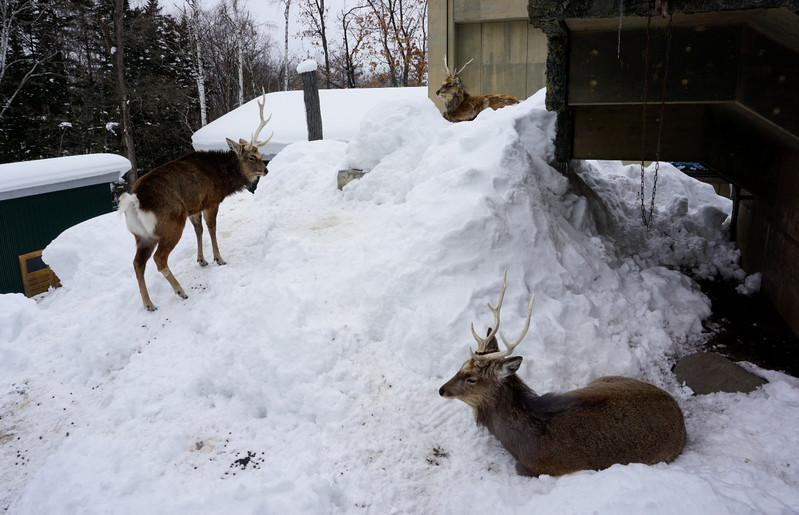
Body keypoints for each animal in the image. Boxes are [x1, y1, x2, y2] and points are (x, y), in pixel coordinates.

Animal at [118, 91, 276, 310]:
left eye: (260, 154)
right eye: (252, 157)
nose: (266, 169)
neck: (222, 178)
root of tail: (134, 200)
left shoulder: (194, 207)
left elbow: (198, 230)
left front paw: (201, 260)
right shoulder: (211, 200)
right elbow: (211, 228)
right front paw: (218, 258)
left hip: (142, 235)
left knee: (137, 263)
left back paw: (149, 304)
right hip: (171, 223)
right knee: (159, 259)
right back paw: (180, 291)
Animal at [438, 272, 688, 478]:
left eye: (472, 378)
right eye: (461, 365)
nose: (442, 390)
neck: (522, 440)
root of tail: (681, 418)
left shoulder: (539, 467)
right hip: (604, 378)